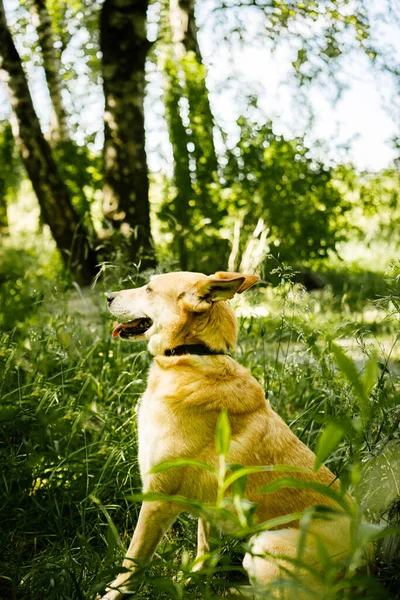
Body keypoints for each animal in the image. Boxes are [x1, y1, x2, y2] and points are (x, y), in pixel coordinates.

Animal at [101, 274, 352, 600]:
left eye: (150, 289)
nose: (107, 296)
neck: (194, 354)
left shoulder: (157, 499)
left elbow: (130, 564)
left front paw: (112, 594)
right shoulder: (209, 505)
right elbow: (205, 551)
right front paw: (192, 579)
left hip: (265, 545)